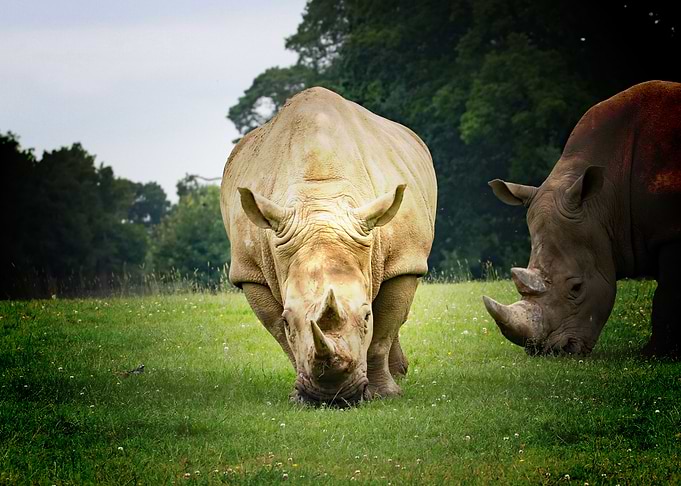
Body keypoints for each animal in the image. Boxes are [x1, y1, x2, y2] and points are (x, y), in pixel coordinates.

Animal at [221, 87, 437, 403]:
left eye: (366, 316)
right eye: (288, 320)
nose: (331, 397)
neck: (320, 199)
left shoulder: (405, 259)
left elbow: (382, 332)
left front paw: (385, 395)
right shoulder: (250, 272)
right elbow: (281, 336)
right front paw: (296, 396)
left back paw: (399, 374)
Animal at [483, 80, 681, 357]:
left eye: (576, 287)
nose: (551, 351)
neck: (608, 202)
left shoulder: (670, 233)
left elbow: (666, 295)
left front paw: (654, 353)